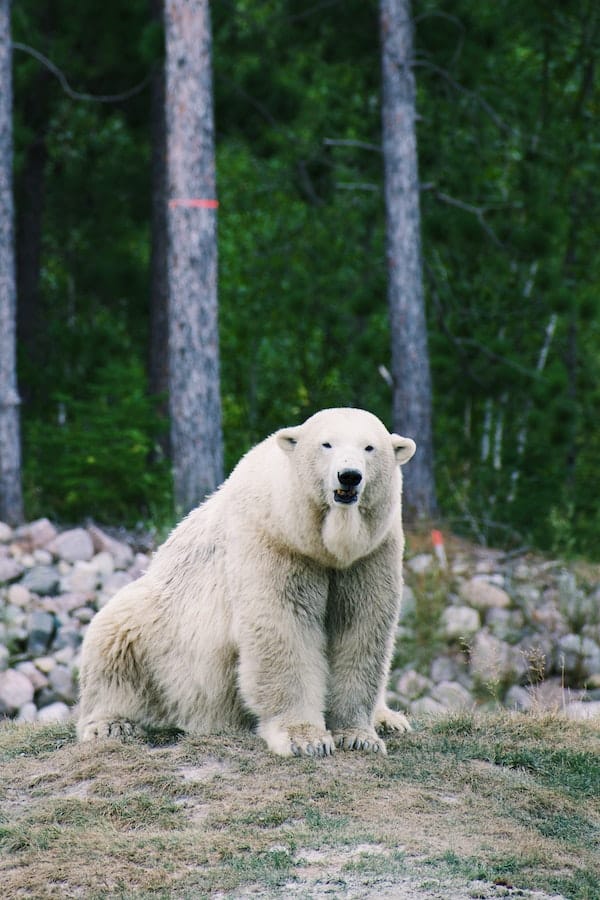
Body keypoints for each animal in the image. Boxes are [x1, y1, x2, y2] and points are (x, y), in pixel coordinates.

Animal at [77, 407, 416, 757]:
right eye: (327, 444)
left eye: (369, 447)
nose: (349, 476)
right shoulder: (272, 543)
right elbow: (283, 626)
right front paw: (304, 739)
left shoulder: (371, 554)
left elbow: (361, 626)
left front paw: (359, 735)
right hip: (155, 625)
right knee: (114, 639)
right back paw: (111, 723)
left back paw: (390, 719)